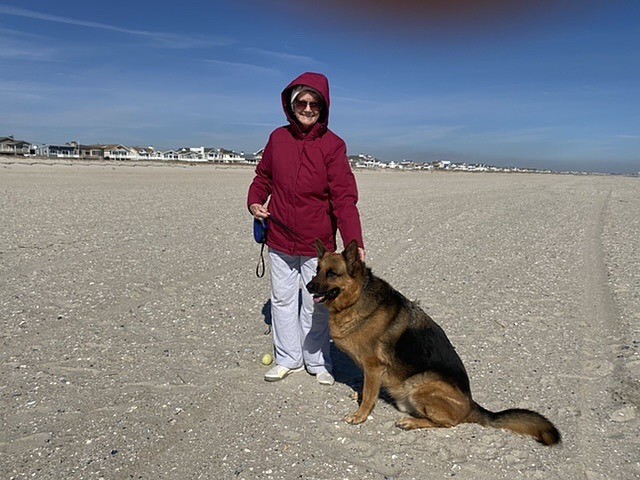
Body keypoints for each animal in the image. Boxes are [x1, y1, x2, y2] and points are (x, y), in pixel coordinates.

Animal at [304, 240, 560, 446]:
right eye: (317, 270)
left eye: (332, 273)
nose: (308, 287)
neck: (355, 299)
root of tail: (471, 405)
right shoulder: (368, 369)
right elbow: (366, 388)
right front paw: (358, 395)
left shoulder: (373, 366)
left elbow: (369, 395)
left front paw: (360, 415)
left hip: (421, 385)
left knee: (447, 423)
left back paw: (410, 422)